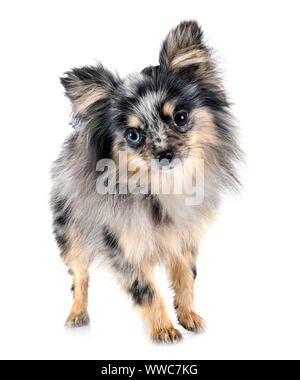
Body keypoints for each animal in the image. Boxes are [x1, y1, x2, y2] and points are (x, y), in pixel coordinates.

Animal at [50, 19, 240, 342]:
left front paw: (188, 316)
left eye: (180, 117)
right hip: (70, 232)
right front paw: (164, 328)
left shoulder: (184, 238)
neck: (164, 186)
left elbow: (186, 279)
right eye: (133, 135)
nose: (164, 153)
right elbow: (147, 291)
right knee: (79, 275)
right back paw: (77, 314)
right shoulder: (123, 247)